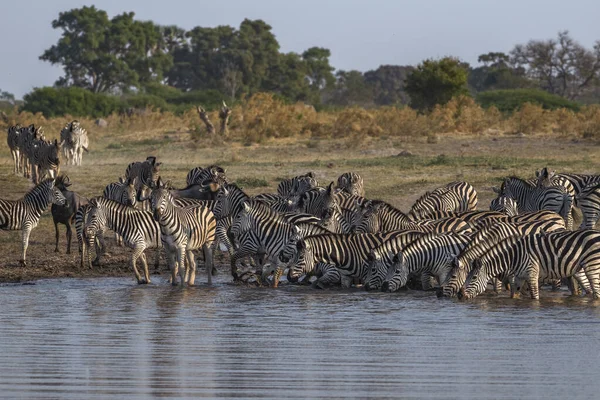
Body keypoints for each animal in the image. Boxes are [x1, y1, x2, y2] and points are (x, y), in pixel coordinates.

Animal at [460, 230, 600, 298]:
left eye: (474, 277)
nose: (460, 295)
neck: (513, 256)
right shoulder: (519, 278)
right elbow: (514, 295)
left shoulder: (531, 274)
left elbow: (534, 297)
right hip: (579, 269)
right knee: (589, 289)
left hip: (592, 265)